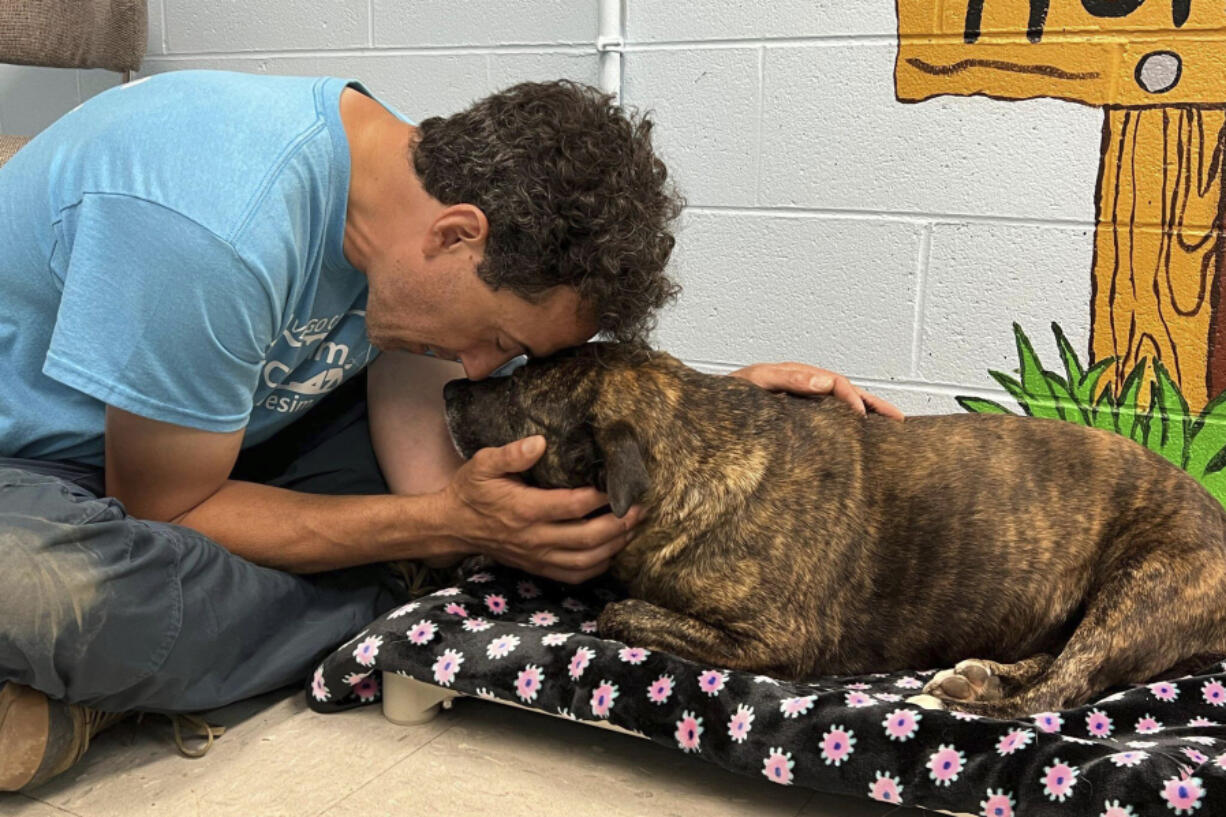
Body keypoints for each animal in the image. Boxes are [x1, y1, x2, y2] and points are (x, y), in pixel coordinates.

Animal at [441, 338, 1226, 711]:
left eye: (518, 390)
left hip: (1140, 587)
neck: (692, 452)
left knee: (1059, 692)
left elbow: (619, 612)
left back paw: (970, 700)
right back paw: (976, 678)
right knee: (1060, 664)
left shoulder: (774, 640)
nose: (449, 386)